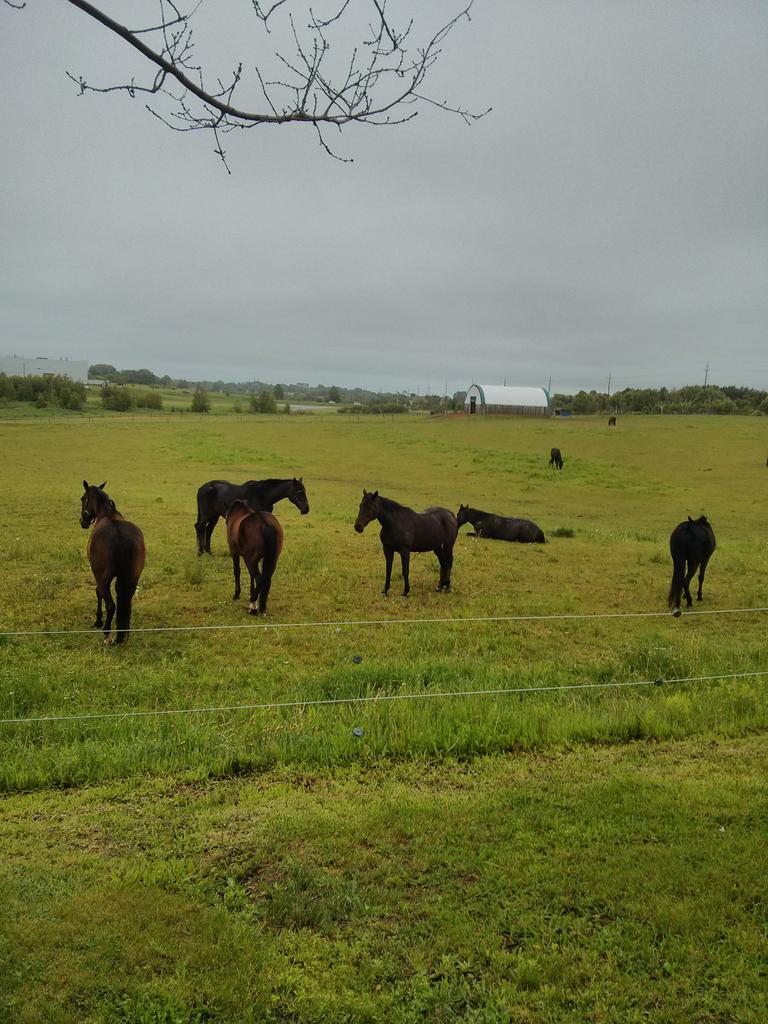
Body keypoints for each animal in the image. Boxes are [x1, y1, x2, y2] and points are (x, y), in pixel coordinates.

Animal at [80, 481, 146, 644]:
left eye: (83, 499)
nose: (82, 522)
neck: (107, 514)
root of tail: (119, 534)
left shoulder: (98, 575)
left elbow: (98, 593)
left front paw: (98, 620)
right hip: (132, 578)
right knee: (126, 601)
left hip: (104, 578)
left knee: (110, 605)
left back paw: (107, 633)